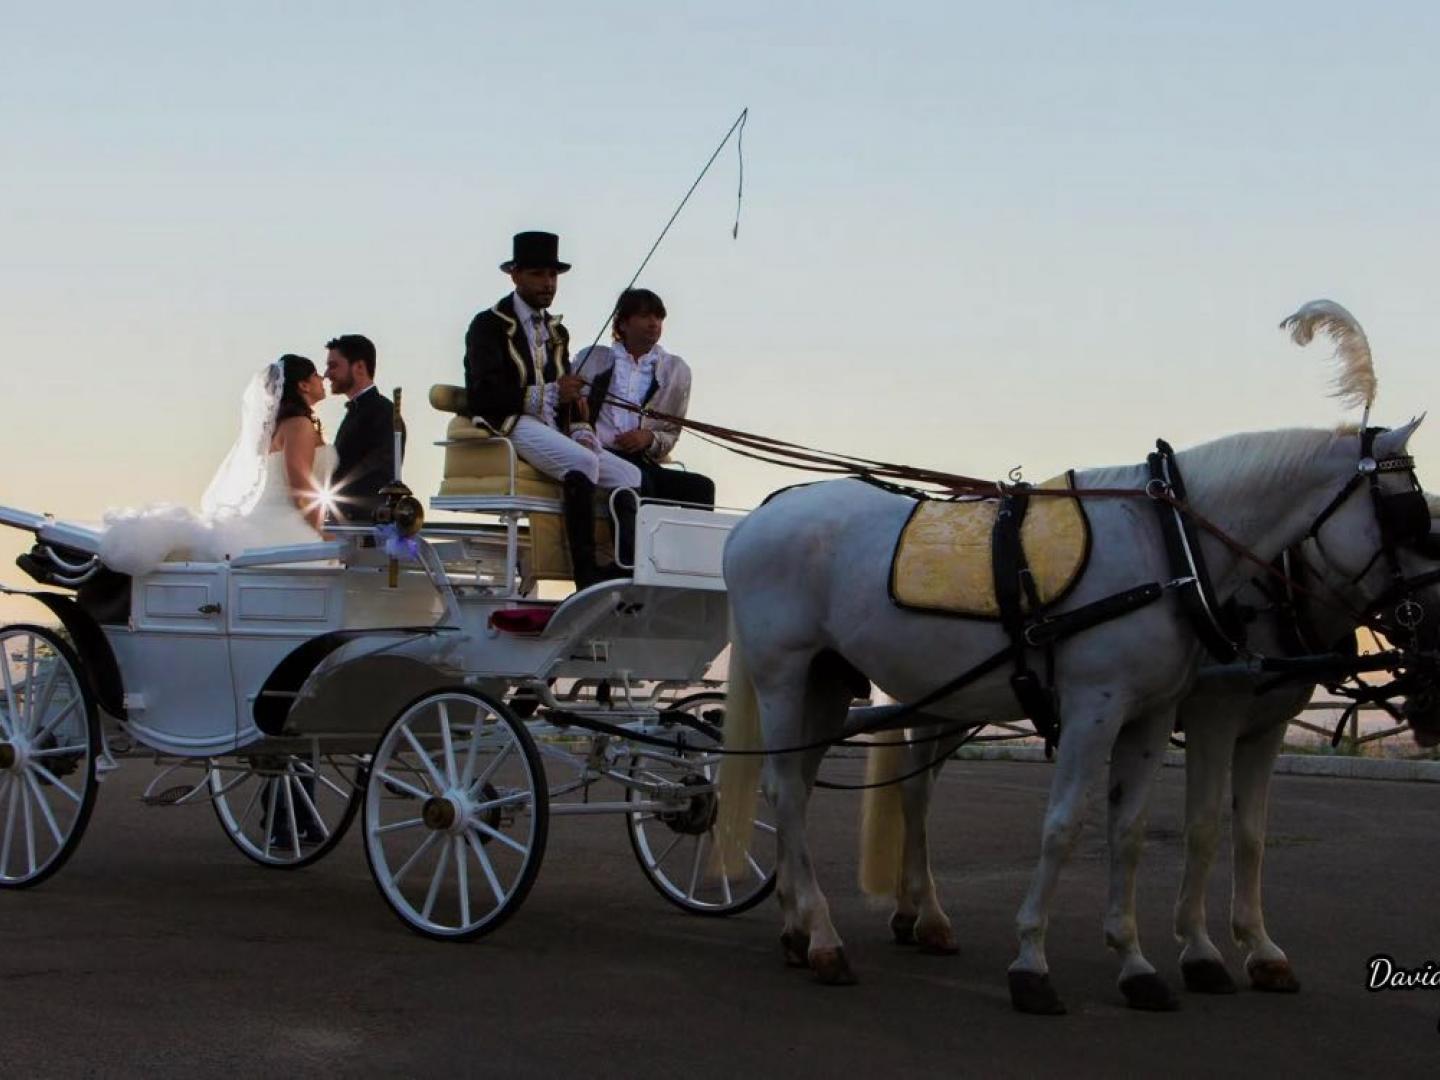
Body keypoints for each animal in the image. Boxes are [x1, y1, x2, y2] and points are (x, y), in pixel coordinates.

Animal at [717, 339, 1428, 1013]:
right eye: (1415, 518)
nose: (1422, 628)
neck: (1168, 544)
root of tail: (759, 516)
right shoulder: (1108, 707)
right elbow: (1066, 823)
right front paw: (1033, 963)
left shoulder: (1155, 715)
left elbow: (1133, 829)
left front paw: (1137, 964)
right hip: (784, 675)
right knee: (784, 790)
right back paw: (825, 939)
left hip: (837, 684)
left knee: (825, 788)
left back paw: (809, 929)